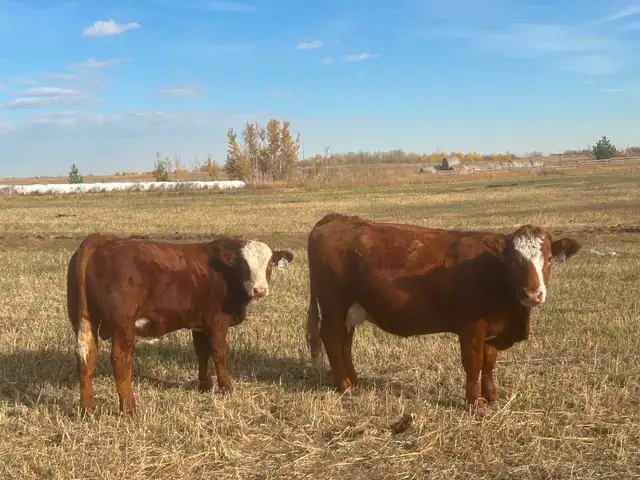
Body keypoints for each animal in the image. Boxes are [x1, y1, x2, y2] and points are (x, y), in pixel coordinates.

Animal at [67, 233, 294, 413]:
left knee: (86, 357)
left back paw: (87, 409)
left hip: (84, 321)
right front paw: (226, 387)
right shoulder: (217, 323)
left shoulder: (199, 324)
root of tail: (100, 240)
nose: (260, 289)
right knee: (120, 360)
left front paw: (205, 386)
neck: (224, 273)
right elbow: (218, 354)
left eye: (270, 264)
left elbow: (201, 353)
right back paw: (129, 408)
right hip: (123, 326)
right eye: (243, 266)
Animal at [305, 213, 582, 407]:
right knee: (331, 339)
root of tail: (337, 218)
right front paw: (475, 402)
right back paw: (344, 385)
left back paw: (355, 381)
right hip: (333, 306)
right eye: (514, 261)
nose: (532, 294)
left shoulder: (493, 328)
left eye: (548, 259)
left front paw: (492, 397)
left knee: (345, 342)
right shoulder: (472, 327)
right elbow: (474, 364)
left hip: (350, 310)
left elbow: (489, 364)